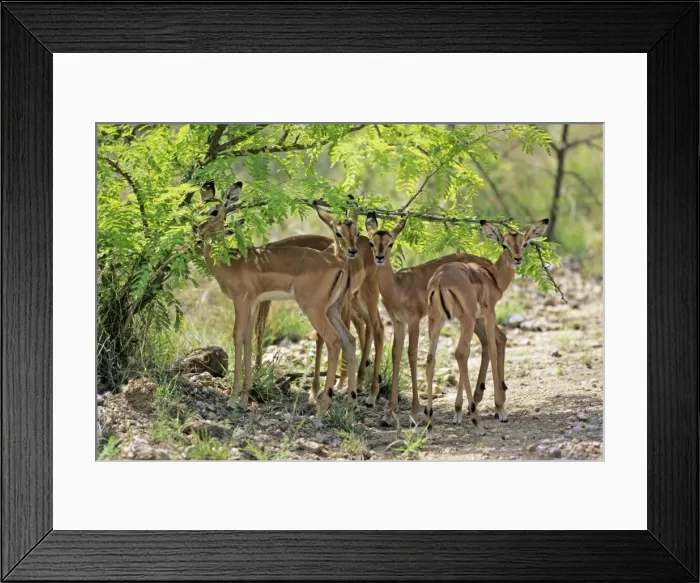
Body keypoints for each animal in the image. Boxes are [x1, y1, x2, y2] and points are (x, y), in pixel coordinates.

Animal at [197, 181, 357, 413]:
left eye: (214, 211)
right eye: (198, 209)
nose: (196, 229)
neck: (232, 262)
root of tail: (340, 262)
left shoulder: (241, 301)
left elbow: (237, 337)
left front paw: (233, 399)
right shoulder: (253, 303)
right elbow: (248, 339)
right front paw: (245, 396)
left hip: (314, 310)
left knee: (334, 341)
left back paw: (321, 408)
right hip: (331, 309)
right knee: (349, 340)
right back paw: (351, 405)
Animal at [365, 212, 509, 428]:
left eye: (390, 243)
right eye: (371, 243)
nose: (379, 257)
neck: (398, 286)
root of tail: (487, 265)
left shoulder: (414, 321)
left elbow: (412, 354)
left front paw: (414, 413)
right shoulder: (398, 322)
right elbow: (396, 354)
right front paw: (389, 413)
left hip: (477, 317)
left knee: (494, 340)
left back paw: (494, 407)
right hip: (475, 319)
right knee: (494, 340)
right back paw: (484, 402)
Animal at [425, 219, 550, 434]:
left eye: (524, 243)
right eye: (504, 245)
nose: (518, 258)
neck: (492, 276)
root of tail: (441, 279)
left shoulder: (472, 319)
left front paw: (458, 411)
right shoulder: (489, 313)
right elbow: (492, 348)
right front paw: (500, 409)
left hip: (438, 320)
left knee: (432, 358)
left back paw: (430, 423)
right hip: (466, 320)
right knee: (461, 352)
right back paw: (477, 421)